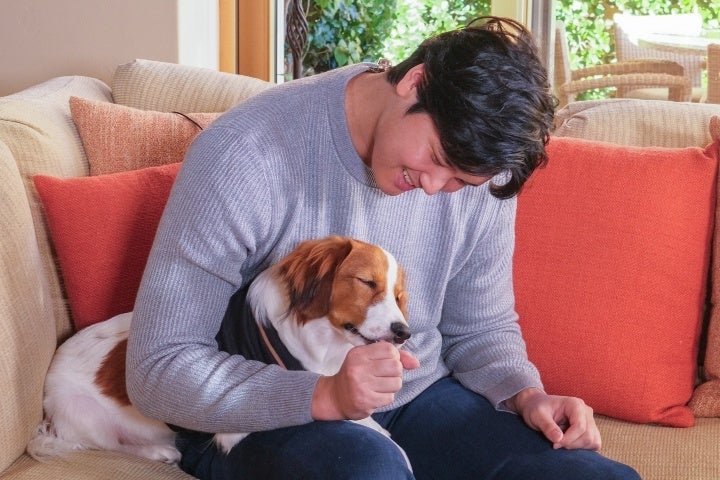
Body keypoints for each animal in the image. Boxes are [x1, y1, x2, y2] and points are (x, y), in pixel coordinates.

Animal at [26, 236, 410, 464]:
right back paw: (158, 450)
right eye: (366, 282)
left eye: (398, 296)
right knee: (108, 443)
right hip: (83, 413)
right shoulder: (237, 424)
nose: (404, 333)